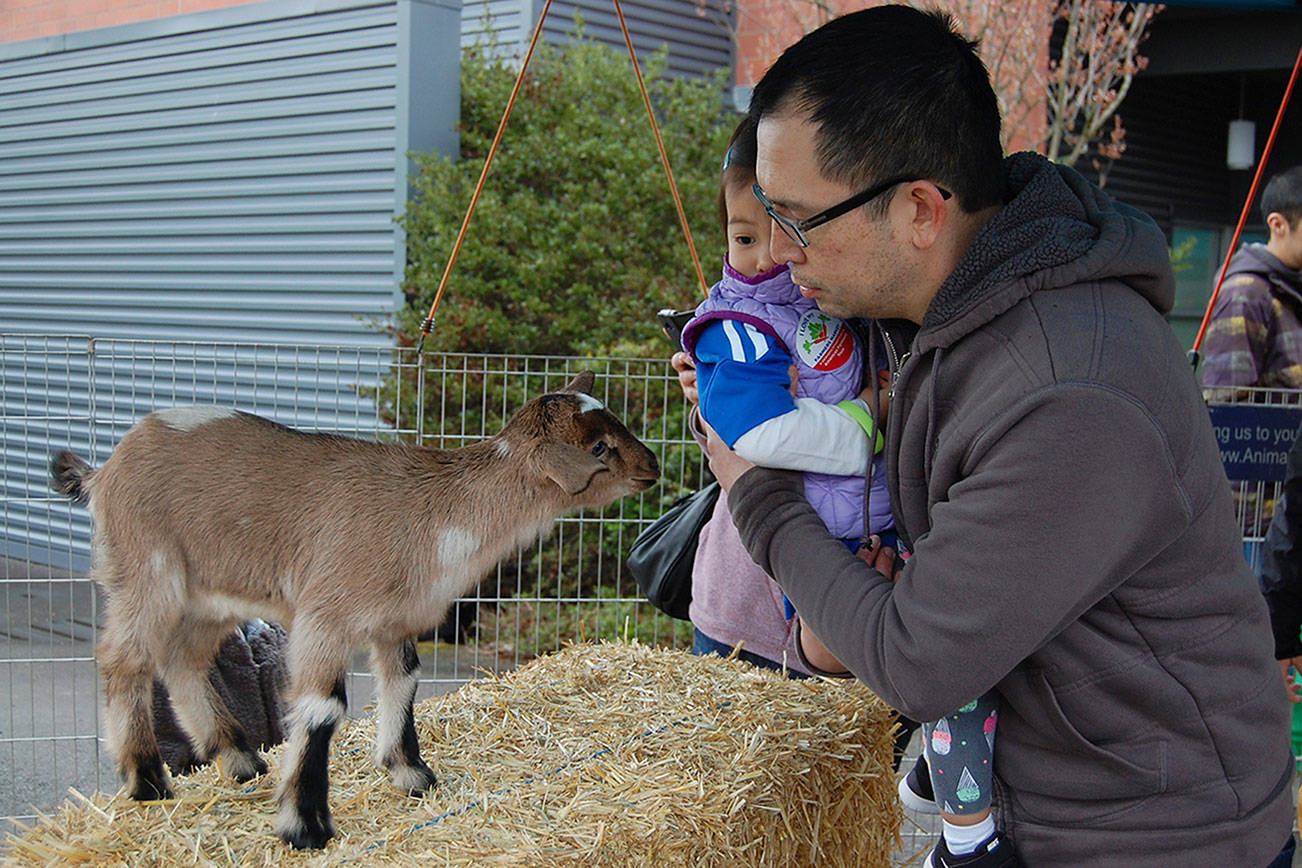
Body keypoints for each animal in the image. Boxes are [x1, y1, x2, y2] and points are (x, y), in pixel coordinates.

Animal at [50, 372, 661, 848]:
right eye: (599, 447)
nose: (653, 465)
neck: (434, 517)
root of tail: (104, 471)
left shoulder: (394, 622)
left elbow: (404, 681)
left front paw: (412, 776)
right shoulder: (325, 614)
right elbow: (322, 710)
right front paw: (306, 826)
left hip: (209, 595)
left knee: (182, 658)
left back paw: (240, 760)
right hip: (146, 571)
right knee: (124, 659)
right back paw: (148, 781)